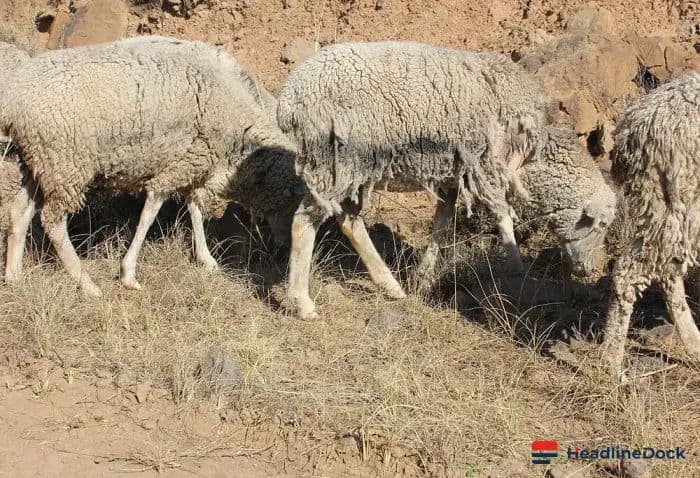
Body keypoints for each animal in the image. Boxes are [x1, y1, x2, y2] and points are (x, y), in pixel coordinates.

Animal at [0, 35, 302, 296]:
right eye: (291, 206)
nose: (283, 249)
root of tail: (14, 100)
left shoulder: (191, 160)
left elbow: (194, 207)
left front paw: (206, 259)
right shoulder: (178, 167)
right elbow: (151, 213)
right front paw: (128, 274)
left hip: (38, 163)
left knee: (19, 211)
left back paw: (14, 276)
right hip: (65, 163)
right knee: (53, 222)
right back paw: (86, 283)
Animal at [277, 41, 617, 319]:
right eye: (599, 225)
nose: (589, 270)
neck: (533, 154)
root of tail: (288, 101)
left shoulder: (453, 175)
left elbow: (442, 226)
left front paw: (423, 277)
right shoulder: (486, 166)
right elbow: (502, 216)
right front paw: (516, 266)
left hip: (351, 169)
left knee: (349, 221)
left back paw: (391, 285)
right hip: (335, 162)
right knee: (304, 220)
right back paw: (301, 303)